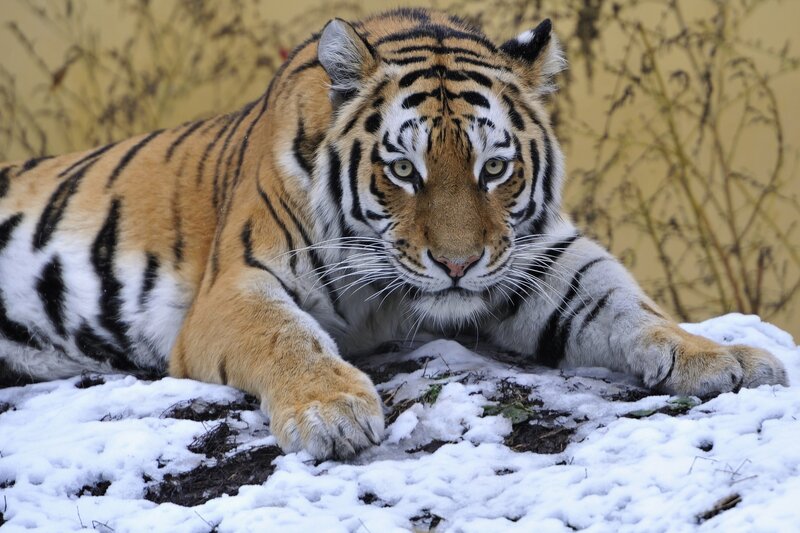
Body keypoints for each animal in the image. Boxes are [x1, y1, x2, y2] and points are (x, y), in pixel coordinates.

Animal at [0, 8, 787, 460]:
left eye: (494, 167)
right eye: (403, 170)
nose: (458, 265)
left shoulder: (541, 258)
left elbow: (628, 305)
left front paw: (722, 355)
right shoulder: (236, 286)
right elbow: (284, 337)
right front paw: (331, 412)